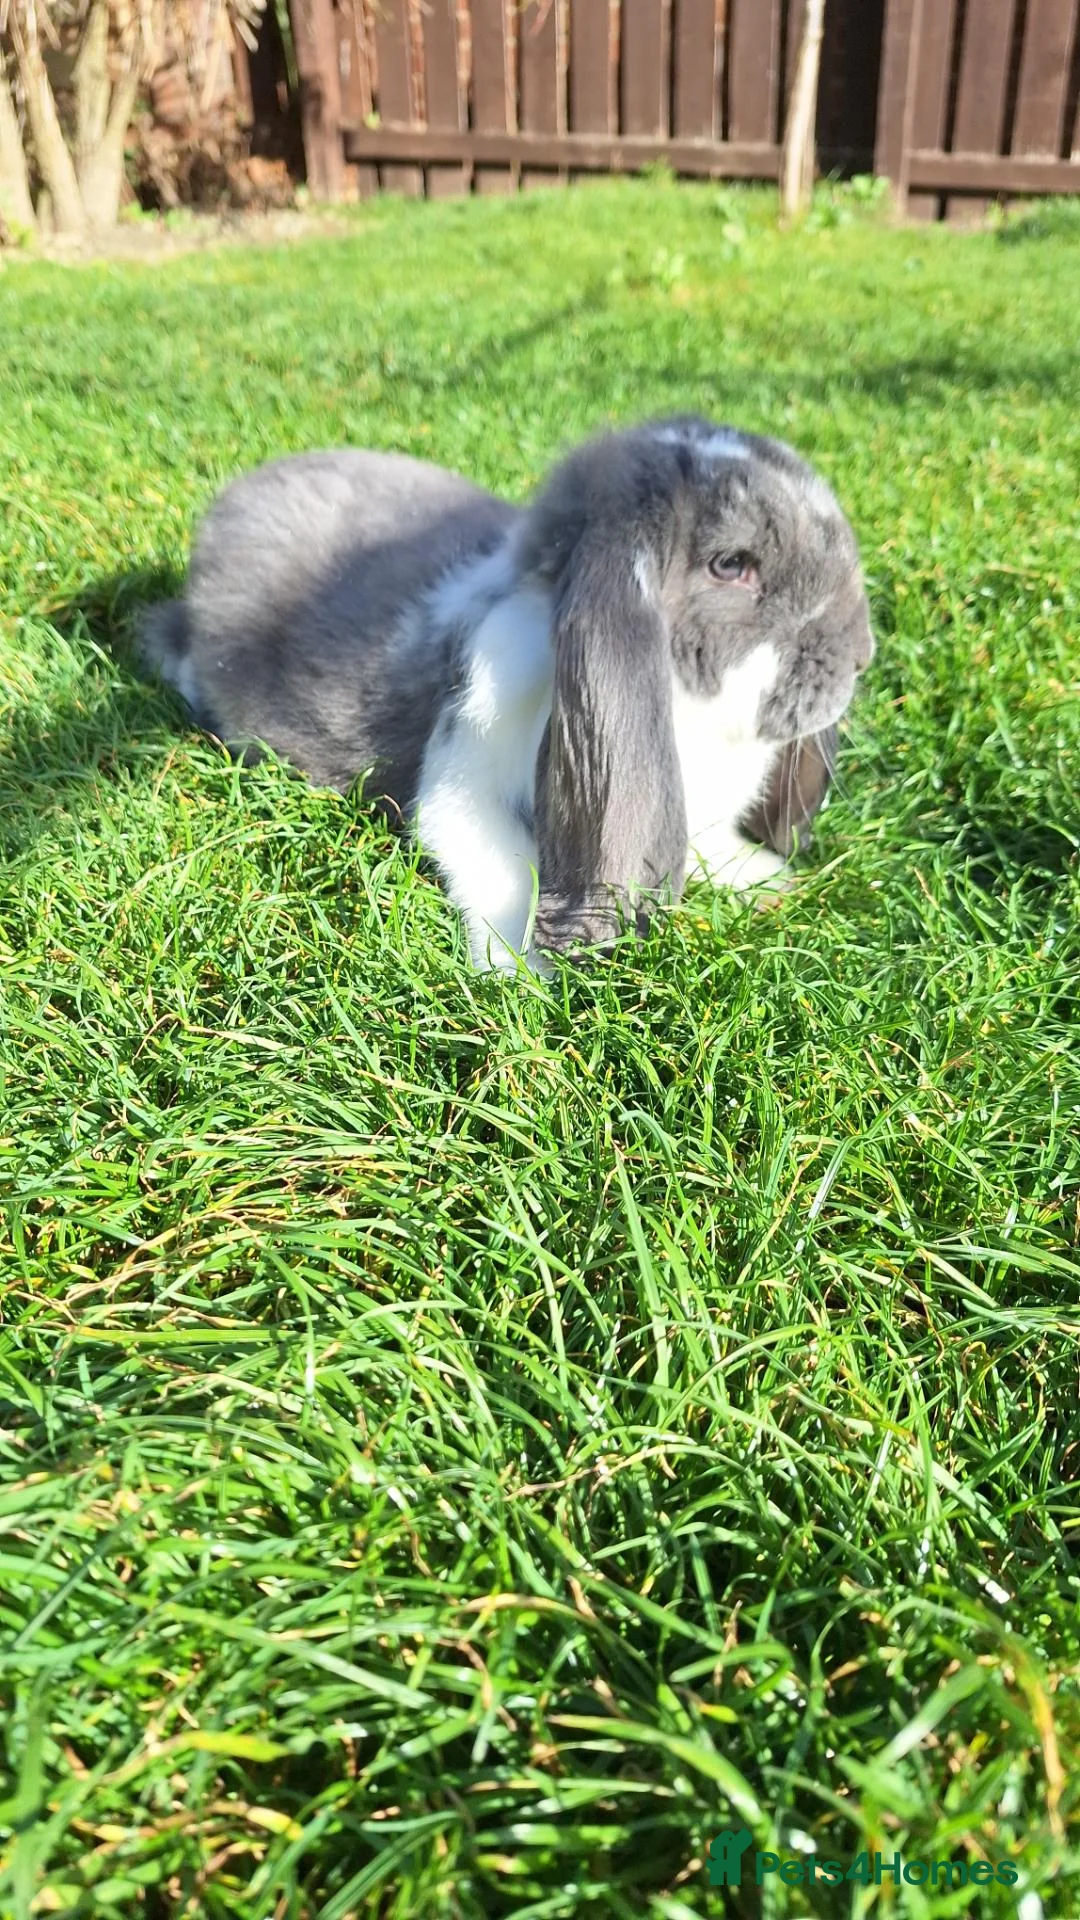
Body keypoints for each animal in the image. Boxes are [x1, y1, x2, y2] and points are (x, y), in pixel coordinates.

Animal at [140, 416, 873, 971]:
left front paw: (764, 876)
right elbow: (508, 869)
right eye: (732, 564)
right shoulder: (464, 788)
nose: (861, 654)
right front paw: (523, 975)